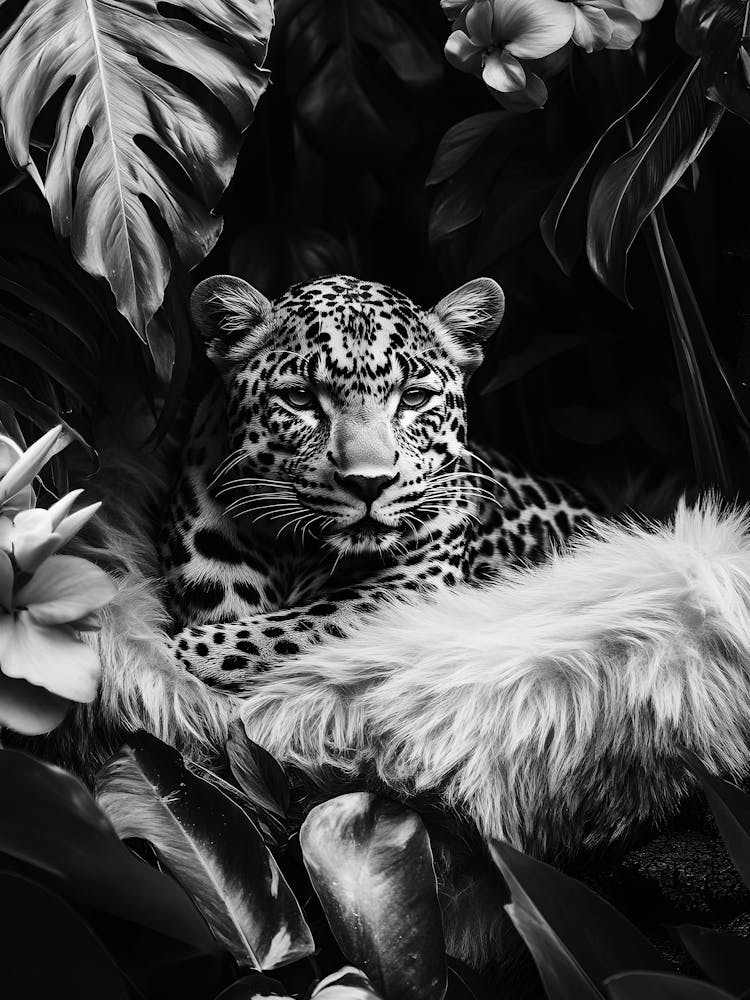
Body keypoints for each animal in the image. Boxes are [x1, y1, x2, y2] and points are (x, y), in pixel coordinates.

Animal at [159, 273, 593, 694]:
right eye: (300, 398)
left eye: (414, 398)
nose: (369, 483)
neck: (296, 553)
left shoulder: (411, 590)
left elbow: (289, 630)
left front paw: (177, 655)